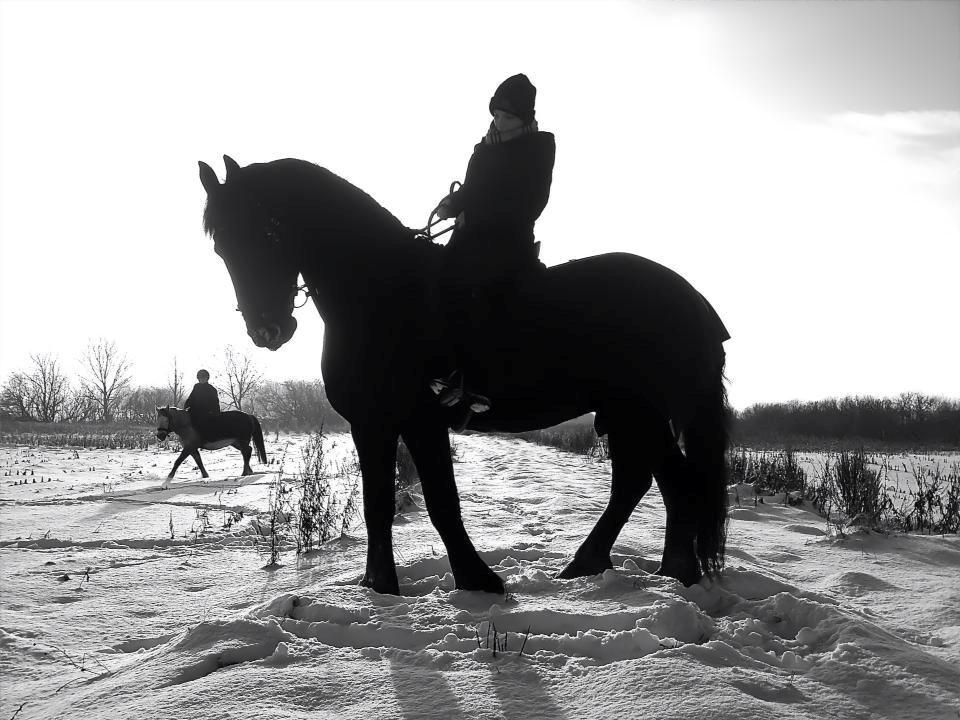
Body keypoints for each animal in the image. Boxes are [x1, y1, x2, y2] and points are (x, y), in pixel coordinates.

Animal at [199, 155, 732, 592]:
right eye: (222, 248)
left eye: (268, 231)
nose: (267, 329)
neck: (377, 290)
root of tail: (694, 302)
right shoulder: (372, 424)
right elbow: (378, 505)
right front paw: (380, 587)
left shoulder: (418, 421)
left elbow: (440, 502)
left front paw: (476, 579)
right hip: (627, 413)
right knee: (646, 483)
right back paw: (616, 568)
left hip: (640, 411)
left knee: (671, 482)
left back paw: (668, 573)